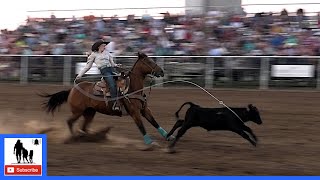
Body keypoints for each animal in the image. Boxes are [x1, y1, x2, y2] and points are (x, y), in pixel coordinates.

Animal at [40, 51, 175, 148]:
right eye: (148, 61)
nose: (161, 71)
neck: (132, 88)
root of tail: (73, 89)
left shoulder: (144, 109)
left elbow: (154, 122)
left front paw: (169, 136)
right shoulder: (134, 112)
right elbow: (141, 126)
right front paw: (150, 143)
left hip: (89, 112)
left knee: (83, 127)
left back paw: (87, 137)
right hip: (77, 111)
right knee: (70, 122)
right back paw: (73, 138)